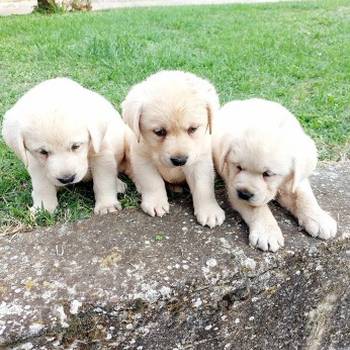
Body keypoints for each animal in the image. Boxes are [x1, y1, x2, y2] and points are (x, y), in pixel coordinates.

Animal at [2, 78, 128, 215]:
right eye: (43, 152)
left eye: (76, 146)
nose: (67, 179)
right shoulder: (35, 163)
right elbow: (42, 185)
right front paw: (43, 208)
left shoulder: (101, 154)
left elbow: (104, 181)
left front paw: (106, 206)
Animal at [121, 70, 226, 228]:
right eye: (159, 132)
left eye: (193, 129)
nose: (179, 160)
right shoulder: (141, 157)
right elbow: (152, 181)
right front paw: (156, 202)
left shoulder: (200, 160)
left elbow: (203, 186)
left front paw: (209, 211)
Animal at [212, 98, 338, 252]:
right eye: (238, 167)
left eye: (268, 174)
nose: (244, 194)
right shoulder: (232, 187)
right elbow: (257, 208)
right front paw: (267, 232)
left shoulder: (297, 178)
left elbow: (305, 196)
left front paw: (319, 218)